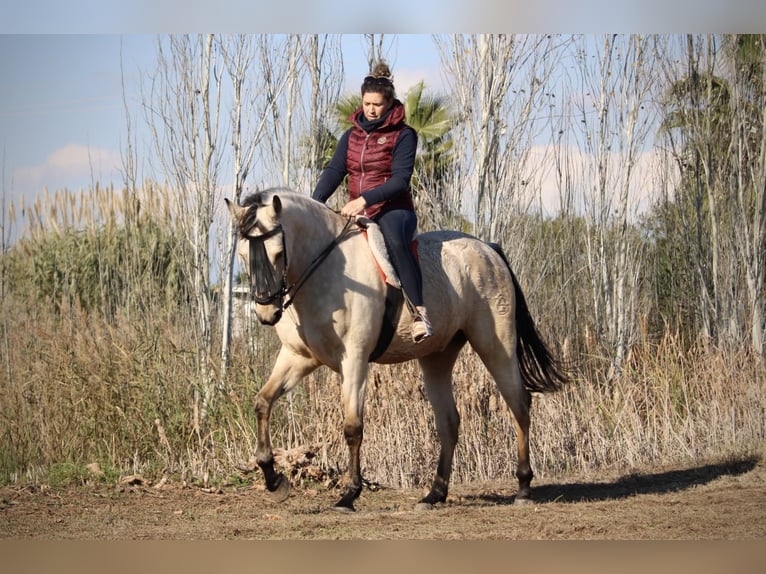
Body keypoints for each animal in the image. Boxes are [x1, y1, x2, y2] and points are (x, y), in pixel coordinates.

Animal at [225, 189, 568, 512]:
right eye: (242, 254)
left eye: (278, 253)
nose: (266, 312)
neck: (326, 270)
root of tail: (488, 249)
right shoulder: (298, 358)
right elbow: (262, 403)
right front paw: (274, 480)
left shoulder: (355, 360)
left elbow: (352, 427)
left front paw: (349, 496)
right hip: (437, 357)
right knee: (449, 422)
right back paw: (434, 495)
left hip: (495, 345)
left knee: (518, 404)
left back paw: (522, 488)